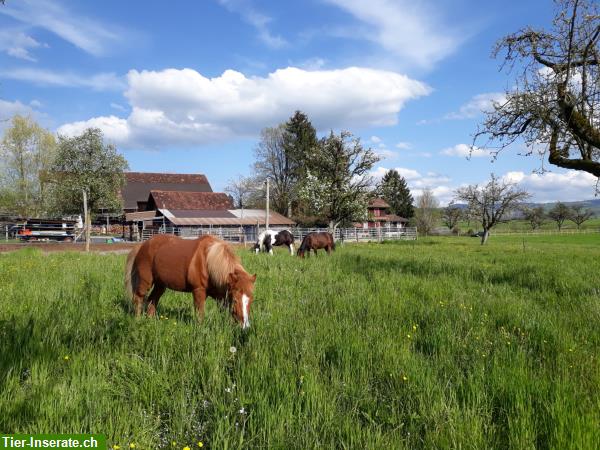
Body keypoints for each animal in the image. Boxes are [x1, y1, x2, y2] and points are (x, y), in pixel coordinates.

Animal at [125, 236, 256, 326]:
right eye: (235, 300)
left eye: (251, 300)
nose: (245, 326)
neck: (208, 260)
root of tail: (142, 245)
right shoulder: (198, 291)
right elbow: (200, 312)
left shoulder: (220, 294)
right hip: (145, 281)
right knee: (138, 298)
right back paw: (138, 320)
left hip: (160, 285)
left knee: (153, 299)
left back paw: (150, 321)